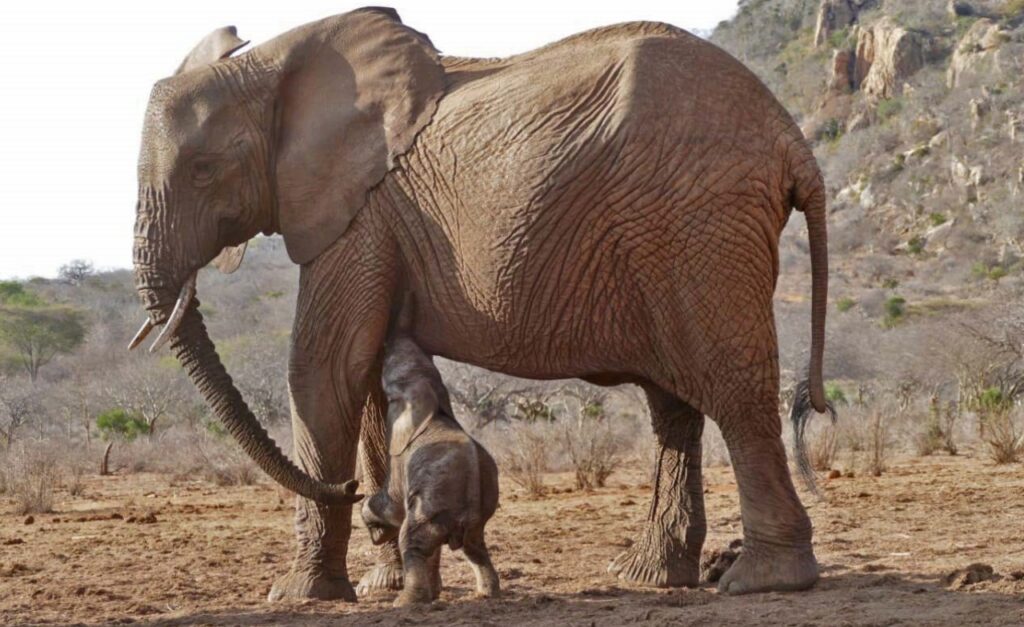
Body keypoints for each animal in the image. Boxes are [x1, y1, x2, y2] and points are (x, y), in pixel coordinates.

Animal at [362, 329, 501, 606]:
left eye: (389, 390)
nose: (389, 339)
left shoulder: (400, 452)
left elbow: (393, 504)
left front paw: (373, 526)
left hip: (434, 509)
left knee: (412, 540)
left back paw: (405, 602)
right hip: (475, 516)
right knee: (474, 546)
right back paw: (487, 593)